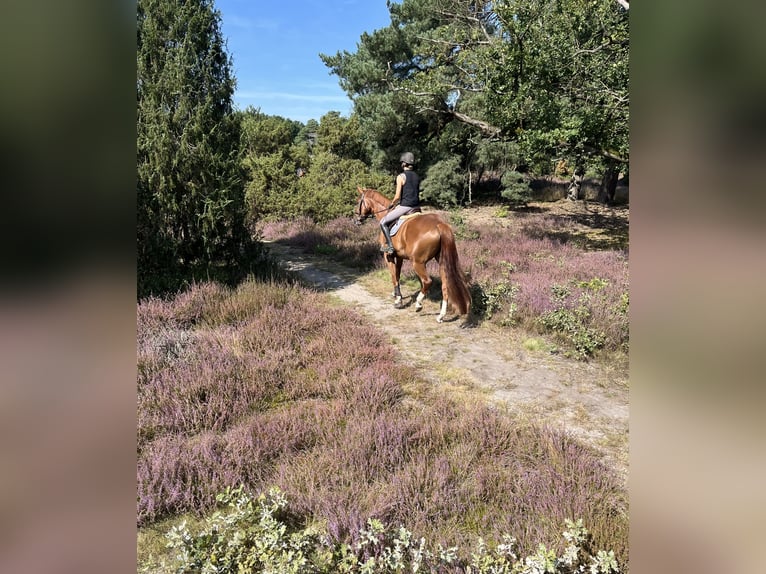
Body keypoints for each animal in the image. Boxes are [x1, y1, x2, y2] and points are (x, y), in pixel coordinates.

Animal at [356, 188, 474, 324]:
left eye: (358, 201)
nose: (357, 219)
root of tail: (439, 224)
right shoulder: (400, 257)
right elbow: (397, 274)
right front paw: (396, 295)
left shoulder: (388, 256)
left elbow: (393, 276)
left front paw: (398, 300)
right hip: (441, 261)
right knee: (445, 285)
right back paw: (441, 315)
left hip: (417, 262)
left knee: (427, 281)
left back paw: (418, 304)